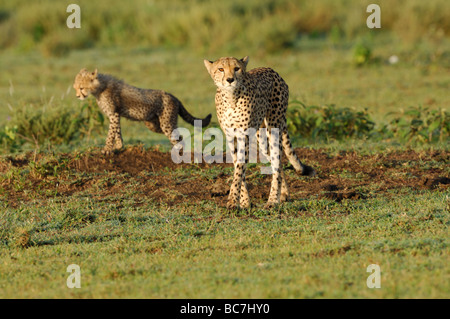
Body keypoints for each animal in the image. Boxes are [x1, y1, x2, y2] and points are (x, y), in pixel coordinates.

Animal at [205, 55, 314, 210]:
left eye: (236, 68)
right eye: (221, 69)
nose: (230, 79)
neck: (231, 97)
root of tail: (271, 70)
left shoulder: (243, 135)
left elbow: (239, 169)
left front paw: (232, 201)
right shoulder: (231, 137)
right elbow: (238, 167)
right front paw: (244, 202)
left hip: (274, 127)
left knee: (277, 161)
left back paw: (273, 200)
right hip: (261, 138)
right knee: (277, 163)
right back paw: (284, 194)